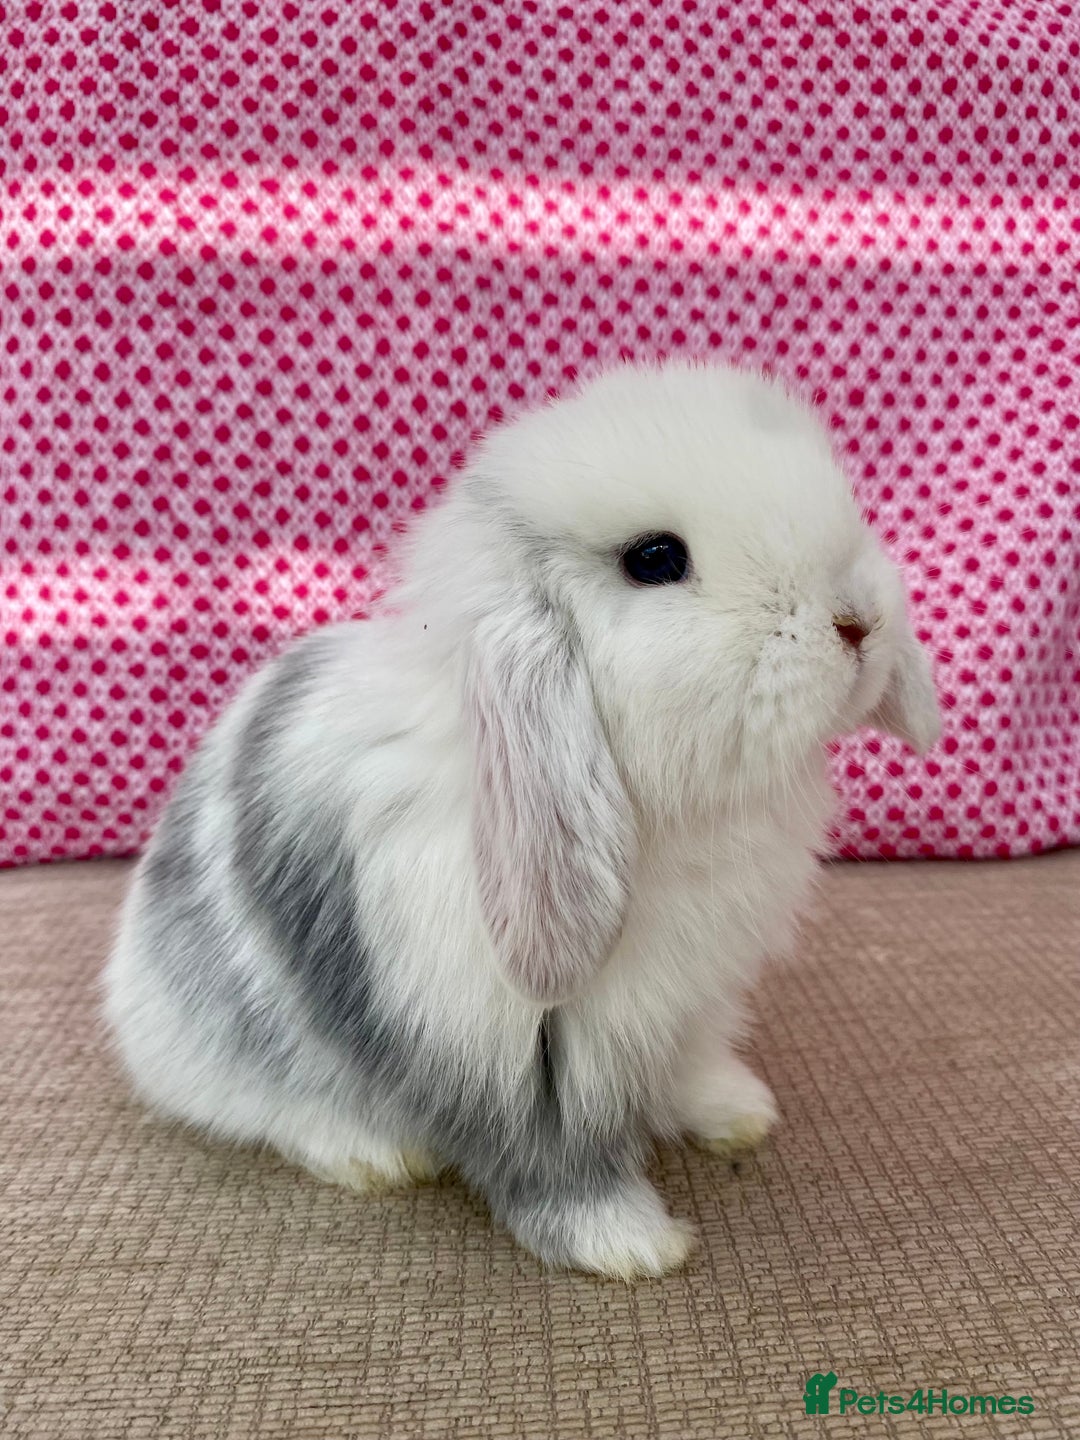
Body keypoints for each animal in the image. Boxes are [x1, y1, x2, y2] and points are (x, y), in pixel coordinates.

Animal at [104, 359, 940, 1280]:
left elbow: (688, 1070)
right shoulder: (517, 1056)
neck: (668, 815)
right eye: (655, 559)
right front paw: (630, 1245)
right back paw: (371, 1155)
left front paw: (736, 1111)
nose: (858, 622)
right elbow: (547, 1164)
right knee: (274, 1111)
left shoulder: (689, 1005)